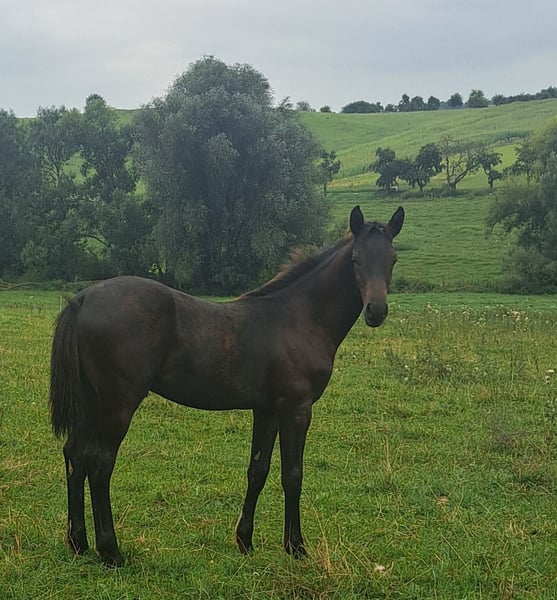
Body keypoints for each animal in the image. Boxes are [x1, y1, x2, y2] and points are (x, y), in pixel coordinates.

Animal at [49, 204, 404, 567]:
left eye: (392, 259)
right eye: (356, 259)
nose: (376, 311)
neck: (299, 318)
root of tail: (82, 299)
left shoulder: (267, 409)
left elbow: (258, 469)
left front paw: (245, 540)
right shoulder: (296, 409)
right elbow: (293, 475)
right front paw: (296, 546)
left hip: (90, 402)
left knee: (75, 455)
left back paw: (77, 542)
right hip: (118, 403)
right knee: (99, 463)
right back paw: (110, 550)